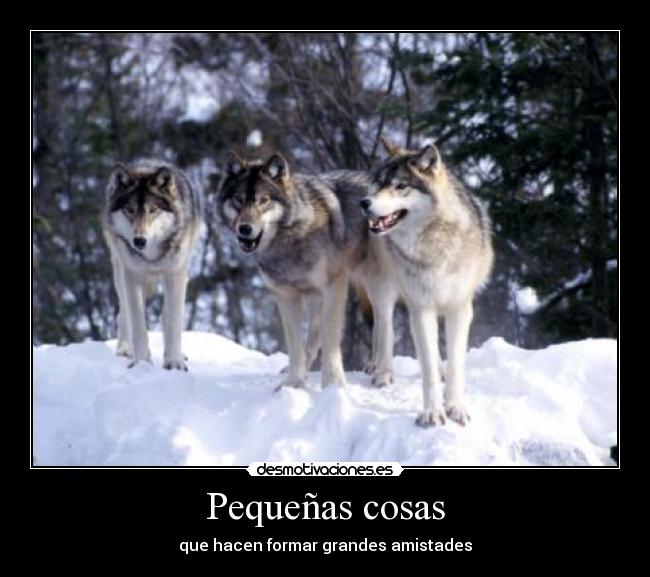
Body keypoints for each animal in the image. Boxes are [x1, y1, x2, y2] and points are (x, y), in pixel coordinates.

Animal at [102, 159, 203, 370]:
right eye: (130, 210)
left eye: (153, 210)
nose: (139, 240)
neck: (151, 257)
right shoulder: (132, 276)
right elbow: (138, 324)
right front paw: (141, 361)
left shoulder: (175, 275)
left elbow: (173, 322)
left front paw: (175, 362)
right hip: (120, 273)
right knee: (123, 313)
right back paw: (125, 349)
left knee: (167, 315)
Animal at [216, 151, 398, 390]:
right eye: (238, 199)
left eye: (263, 200)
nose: (245, 228)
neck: (290, 239)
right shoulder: (286, 295)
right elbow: (295, 345)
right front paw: (293, 384)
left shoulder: (334, 286)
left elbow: (330, 341)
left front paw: (333, 384)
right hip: (319, 296)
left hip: (375, 283)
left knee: (385, 326)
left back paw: (382, 375)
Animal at [360, 138, 494, 427]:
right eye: (380, 183)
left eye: (400, 186)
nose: (363, 202)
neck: (433, 244)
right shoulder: (421, 309)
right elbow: (428, 368)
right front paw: (433, 413)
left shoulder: (459, 308)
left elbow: (455, 363)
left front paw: (455, 407)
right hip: (385, 289)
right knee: (384, 329)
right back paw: (381, 372)